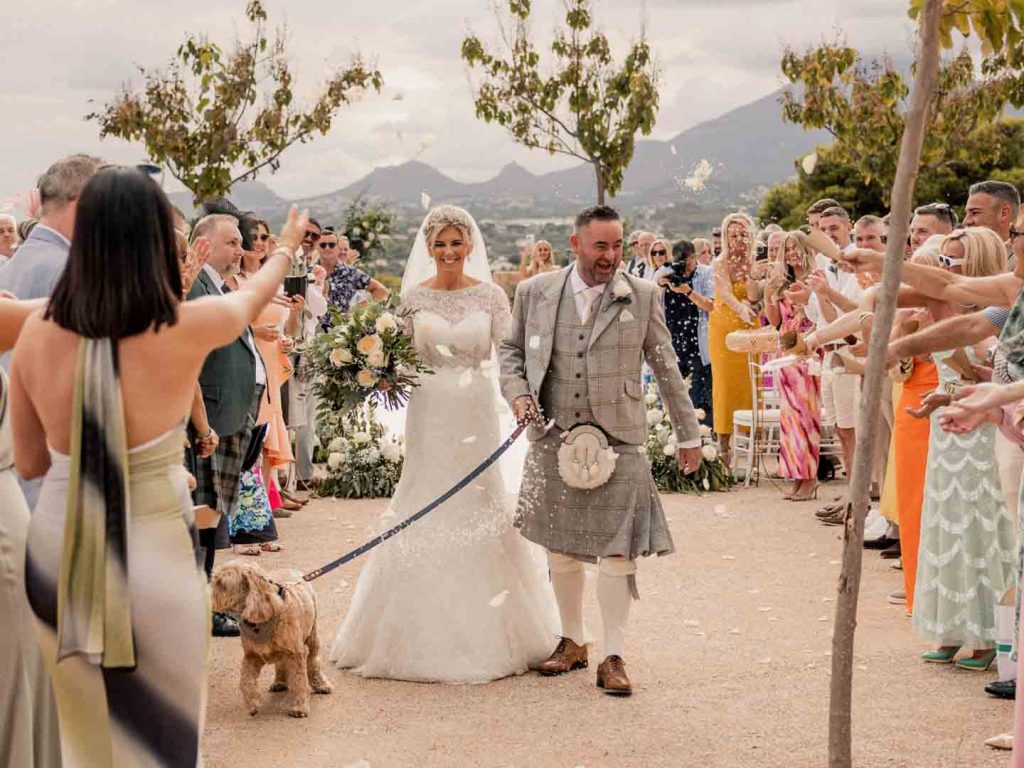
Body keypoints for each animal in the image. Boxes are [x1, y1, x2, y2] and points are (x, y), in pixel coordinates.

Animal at [209, 561, 333, 720]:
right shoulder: (251, 656)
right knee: (280, 664)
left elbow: (299, 682)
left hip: (312, 638)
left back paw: (321, 684)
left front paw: (299, 707)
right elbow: (245, 681)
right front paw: (252, 702)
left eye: (221, 583)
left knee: (313, 662)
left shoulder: (296, 654)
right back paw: (279, 681)